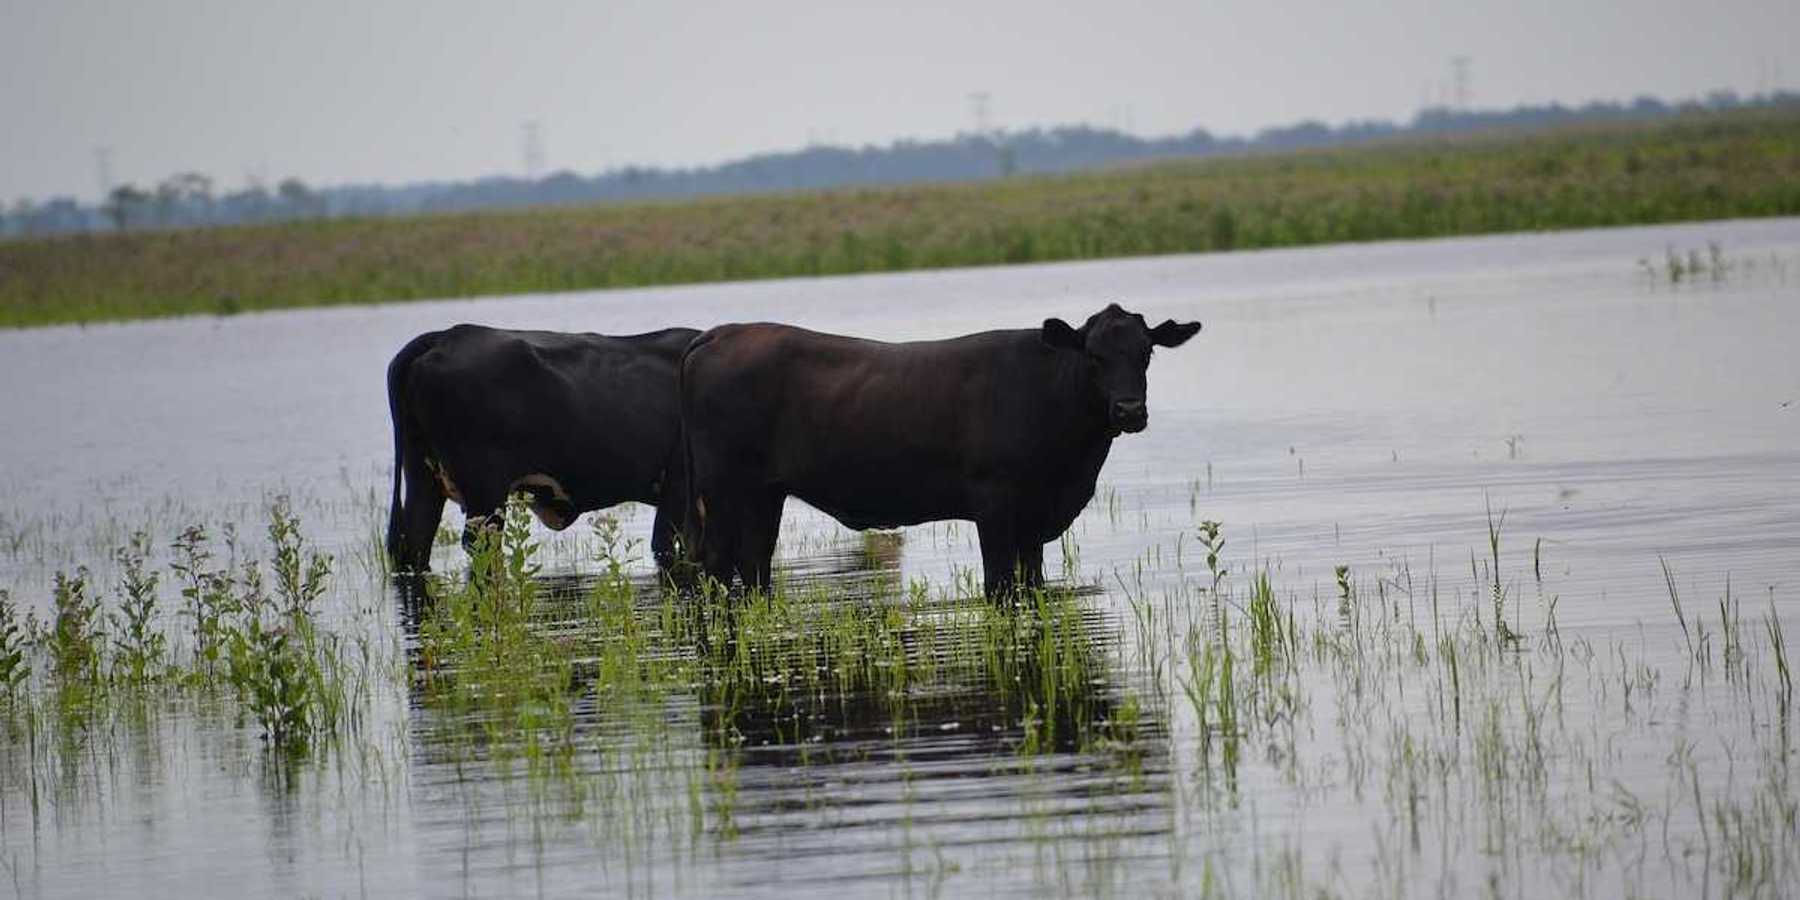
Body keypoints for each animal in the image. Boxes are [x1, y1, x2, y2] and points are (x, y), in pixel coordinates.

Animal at [385, 323, 699, 575]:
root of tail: (445, 336)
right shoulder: (677, 487)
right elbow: (665, 543)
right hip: (484, 492)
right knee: (479, 546)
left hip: (423, 478)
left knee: (415, 540)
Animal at [679, 303, 1201, 597]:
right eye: (1093, 355)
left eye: (1146, 353)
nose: (1130, 409)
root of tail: (720, 332)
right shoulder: (995, 504)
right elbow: (999, 583)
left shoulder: (1035, 517)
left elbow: (1032, 581)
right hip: (723, 487)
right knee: (718, 564)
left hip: (764, 493)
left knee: (754, 563)